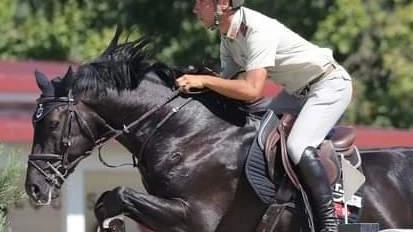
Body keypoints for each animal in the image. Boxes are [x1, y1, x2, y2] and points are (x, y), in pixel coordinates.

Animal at [24, 33, 412, 232]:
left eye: (53, 123)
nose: (34, 188)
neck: (187, 135)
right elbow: (107, 201)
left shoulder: (194, 216)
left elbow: (117, 195)